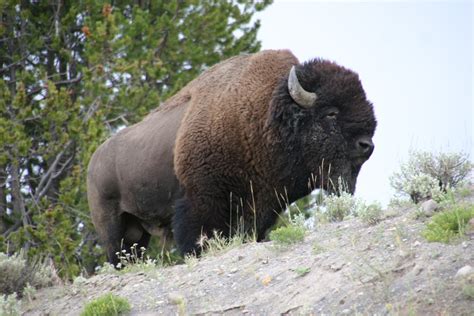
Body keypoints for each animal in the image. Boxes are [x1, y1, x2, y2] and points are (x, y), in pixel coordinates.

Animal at [87, 50, 376, 264]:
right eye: (331, 113)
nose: (367, 145)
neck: (264, 116)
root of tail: (93, 162)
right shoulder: (201, 203)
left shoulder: (261, 205)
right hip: (113, 225)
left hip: (137, 231)